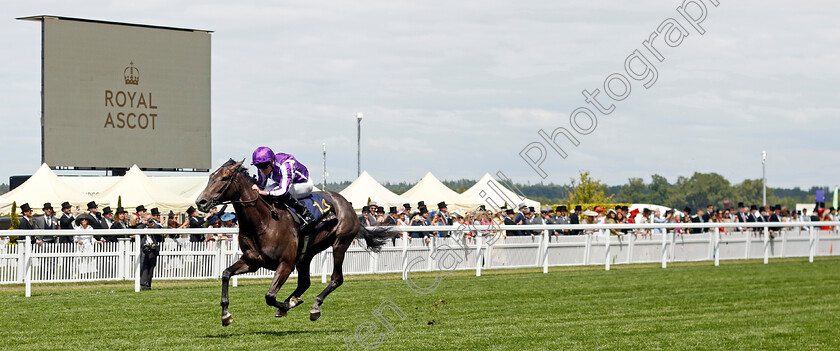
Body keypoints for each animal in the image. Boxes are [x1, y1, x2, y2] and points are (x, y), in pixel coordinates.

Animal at [195, 160, 396, 328]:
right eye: (210, 177)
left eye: (224, 178)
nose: (200, 202)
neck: (264, 221)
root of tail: (347, 205)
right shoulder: (252, 262)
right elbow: (225, 274)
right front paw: (225, 315)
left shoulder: (286, 263)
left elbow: (270, 296)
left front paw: (288, 303)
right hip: (306, 254)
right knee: (305, 282)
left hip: (340, 243)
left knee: (336, 278)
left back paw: (313, 307)